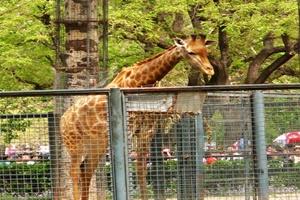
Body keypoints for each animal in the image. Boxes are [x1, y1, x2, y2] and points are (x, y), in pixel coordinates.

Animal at [60, 34, 216, 200]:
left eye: (207, 51)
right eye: (191, 52)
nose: (210, 70)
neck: (139, 82)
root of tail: (63, 119)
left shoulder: (146, 130)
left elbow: (141, 172)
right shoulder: (128, 128)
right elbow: (126, 165)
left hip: (96, 144)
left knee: (86, 170)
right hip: (74, 142)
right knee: (74, 171)